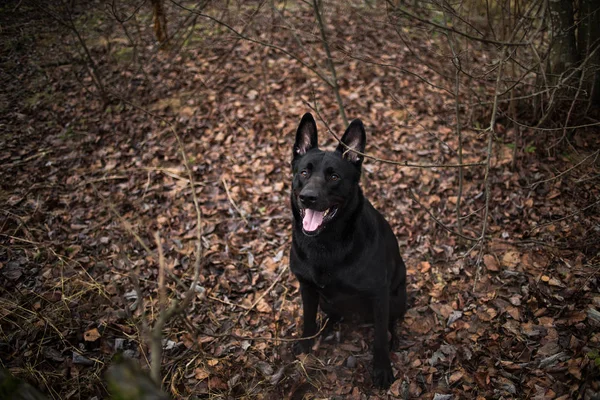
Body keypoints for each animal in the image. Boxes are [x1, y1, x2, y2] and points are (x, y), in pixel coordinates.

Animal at [288, 111, 406, 388]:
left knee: (390, 323)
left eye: (334, 177)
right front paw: (306, 345)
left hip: (396, 298)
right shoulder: (307, 287)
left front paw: (382, 369)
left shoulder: (379, 294)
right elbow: (307, 319)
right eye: (304, 172)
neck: (326, 243)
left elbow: (379, 338)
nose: (307, 197)